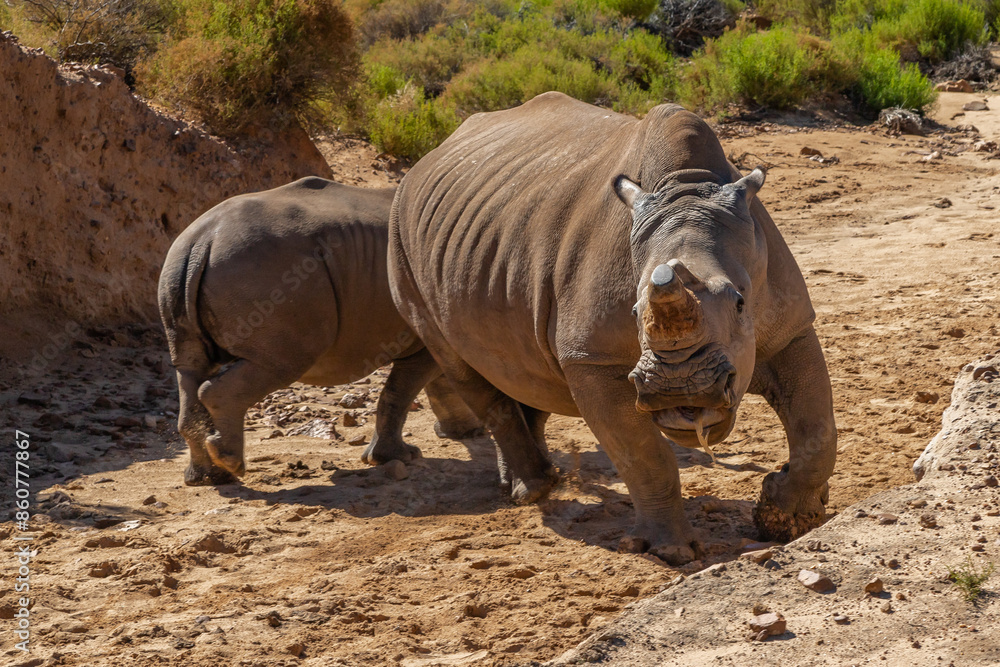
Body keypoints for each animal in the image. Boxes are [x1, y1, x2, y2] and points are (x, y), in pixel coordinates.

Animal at [158, 177, 481, 486]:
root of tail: (203, 240)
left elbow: (440, 385)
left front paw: (462, 432)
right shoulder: (427, 339)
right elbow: (403, 392)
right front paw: (401, 457)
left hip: (180, 267)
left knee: (189, 368)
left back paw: (209, 478)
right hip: (261, 269)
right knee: (281, 363)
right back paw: (231, 465)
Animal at [389, 93, 836, 564]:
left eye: (740, 303)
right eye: (634, 311)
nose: (680, 389)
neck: (686, 188)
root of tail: (424, 162)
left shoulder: (789, 324)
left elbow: (817, 427)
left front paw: (785, 519)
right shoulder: (591, 357)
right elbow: (644, 456)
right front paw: (671, 551)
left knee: (524, 370)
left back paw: (535, 481)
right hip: (400, 241)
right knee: (457, 362)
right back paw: (533, 491)